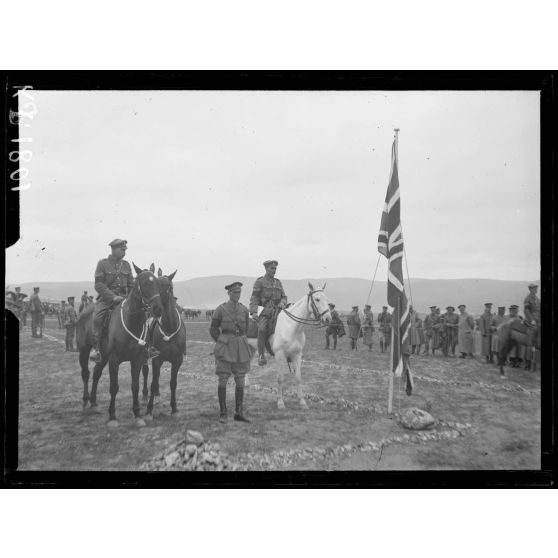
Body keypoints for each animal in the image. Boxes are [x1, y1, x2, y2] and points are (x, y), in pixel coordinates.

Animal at [75, 266, 162, 428]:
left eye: (158, 283)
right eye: (144, 283)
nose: (158, 309)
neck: (131, 322)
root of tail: (84, 311)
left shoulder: (137, 360)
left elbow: (135, 386)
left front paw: (137, 415)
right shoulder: (114, 361)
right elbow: (114, 387)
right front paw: (112, 416)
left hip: (103, 357)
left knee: (96, 373)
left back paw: (94, 403)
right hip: (84, 351)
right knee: (86, 374)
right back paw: (85, 402)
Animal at [141, 268, 187, 420]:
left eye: (166, 286)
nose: (153, 306)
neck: (170, 328)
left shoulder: (177, 361)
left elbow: (173, 383)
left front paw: (174, 408)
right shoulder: (156, 359)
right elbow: (153, 381)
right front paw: (149, 410)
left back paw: (156, 394)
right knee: (146, 372)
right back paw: (145, 395)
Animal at [249, 284, 332, 412]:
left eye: (326, 299)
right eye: (317, 299)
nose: (328, 319)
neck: (292, 326)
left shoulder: (297, 355)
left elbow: (298, 378)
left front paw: (302, 402)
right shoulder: (279, 355)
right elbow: (280, 378)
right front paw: (280, 402)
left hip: (251, 348)